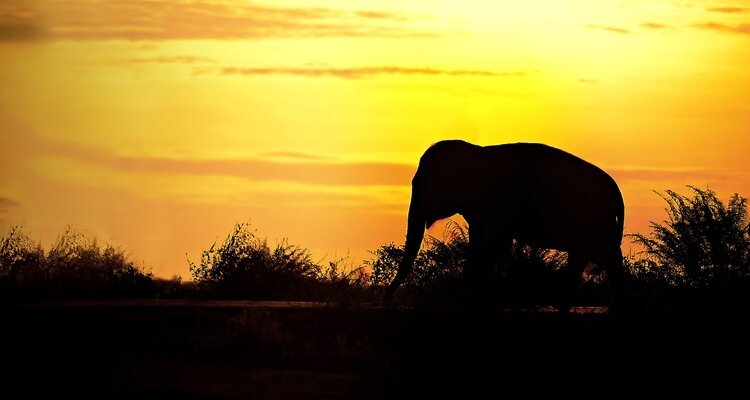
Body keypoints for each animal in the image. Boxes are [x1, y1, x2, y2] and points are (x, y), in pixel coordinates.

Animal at [385, 140, 625, 307]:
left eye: (418, 184)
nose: (388, 298)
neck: (476, 154)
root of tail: (615, 190)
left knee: (601, 257)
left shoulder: (499, 201)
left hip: (593, 221)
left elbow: (492, 245)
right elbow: (482, 244)